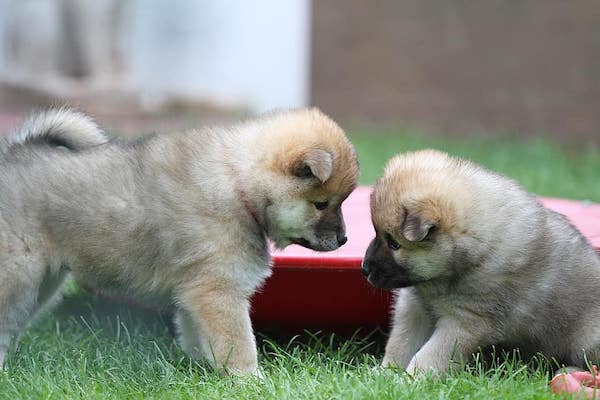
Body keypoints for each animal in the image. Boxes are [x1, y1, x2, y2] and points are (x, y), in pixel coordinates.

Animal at [0, 107, 356, 376]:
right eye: (322, 203)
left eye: (341, 202)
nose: (343, 239)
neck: (239, 184)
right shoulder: (217, 291)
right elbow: (240, 345)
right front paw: (251, 381)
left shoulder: (195, 292)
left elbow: (199, 337)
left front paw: (204, 369)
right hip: (19, 277)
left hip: (44, 285)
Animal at [360, 149, 600, 376]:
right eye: (376, 233)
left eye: (394, 244)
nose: (364, 269)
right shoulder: (415, 306)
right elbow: (401, 342)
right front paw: (386, 372)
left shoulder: (466, 321)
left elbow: (432, 354)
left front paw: (411, 378)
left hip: (588, 338)